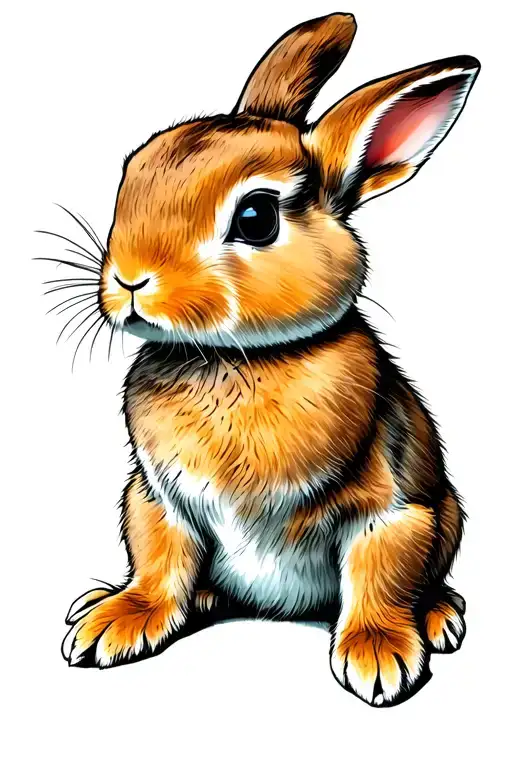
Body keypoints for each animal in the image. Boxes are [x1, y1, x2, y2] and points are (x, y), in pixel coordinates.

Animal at [59, 12, 479, 707]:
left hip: (446, 515)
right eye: (133, 169)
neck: (236, 358)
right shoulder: (157, 497)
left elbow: (382, 575)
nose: (130, 279)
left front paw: (378, 658)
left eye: (256, 218)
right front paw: (120, 622)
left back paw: (440, 617)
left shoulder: (392, 511)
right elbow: (158, 559)